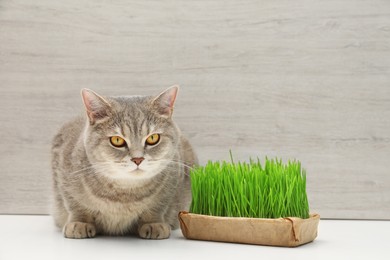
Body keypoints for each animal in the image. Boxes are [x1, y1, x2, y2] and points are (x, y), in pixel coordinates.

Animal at [51, 86, 198, 240]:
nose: (138, 159)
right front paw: (80, 222)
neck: (125, 192)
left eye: (153, 138)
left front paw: (153, 223)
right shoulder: (64, 174)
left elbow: (157, 207)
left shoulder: (173, 179)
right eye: (117, 140)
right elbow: (76, 205)